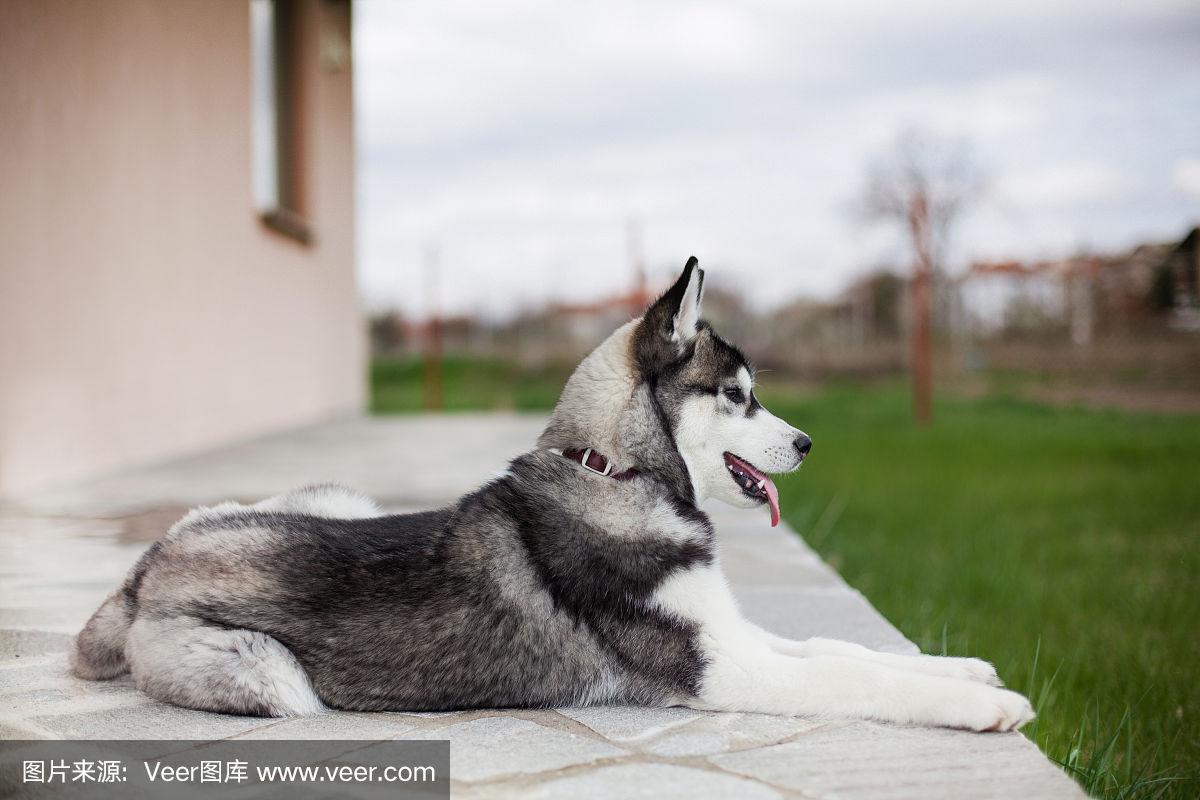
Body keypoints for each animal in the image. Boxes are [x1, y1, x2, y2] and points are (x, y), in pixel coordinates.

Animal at [72, 261, 1032, 734]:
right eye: (737, 396)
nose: (804, 444)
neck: (620, 476)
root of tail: (146, 567)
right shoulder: (714, 667)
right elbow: (845, 678)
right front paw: (984, 706)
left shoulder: (726, 630)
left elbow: (840, 648)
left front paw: (958, 666)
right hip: (275, 679)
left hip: (343, 496)